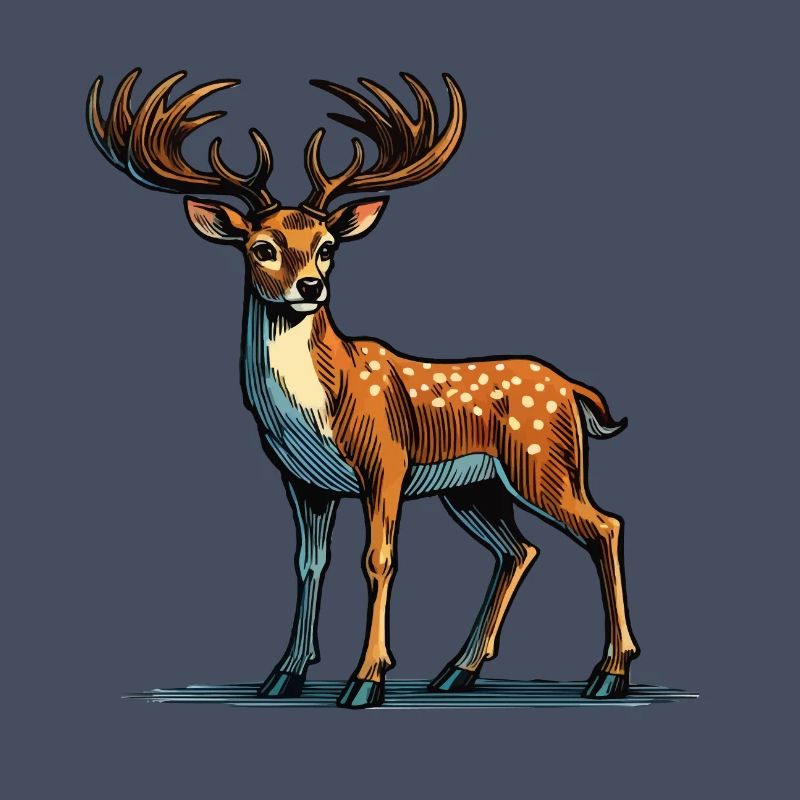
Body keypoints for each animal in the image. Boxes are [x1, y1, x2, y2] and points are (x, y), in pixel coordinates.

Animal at [86, 68, 639, 709]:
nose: (310, 286)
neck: (317, 406)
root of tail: (574, 390)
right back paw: (457, 670)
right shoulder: (303, 480)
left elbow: (378, 559)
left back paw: (610, 673)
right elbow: (309, 563)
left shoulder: (385, 461)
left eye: (328, 247)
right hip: (475, 489)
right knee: (518, 549)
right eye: (261, 247)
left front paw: (365, 678)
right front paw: (284, 674)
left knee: (604, 526)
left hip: (543, 461)